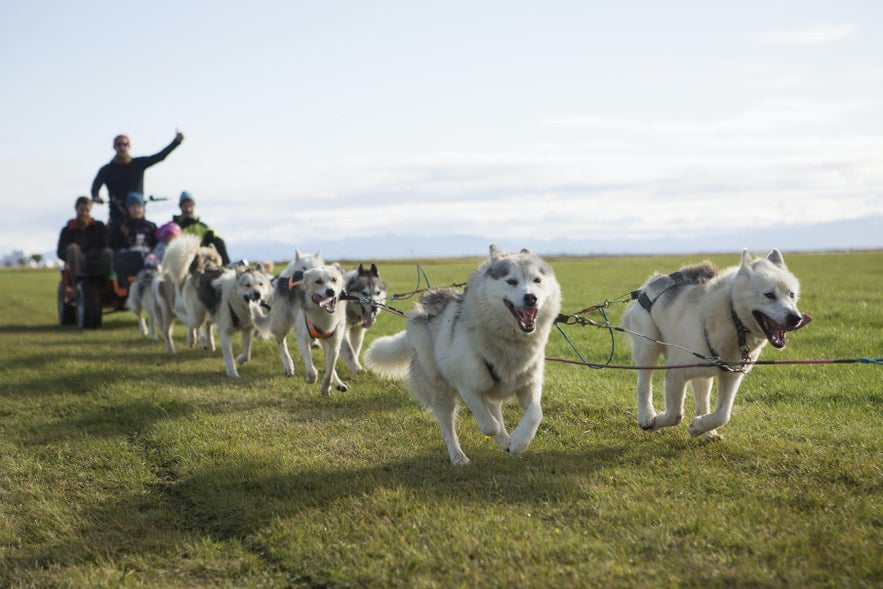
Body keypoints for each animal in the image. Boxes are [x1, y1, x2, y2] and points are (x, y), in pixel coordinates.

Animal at [364, 243, 560, 464]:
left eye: (537, 280)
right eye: (511, 281)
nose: (531, 298)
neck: (509, 342)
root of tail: (416, 311)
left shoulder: (529, 383)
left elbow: (535, 413)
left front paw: (519, 442)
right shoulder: (466, 384)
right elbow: (490, 426)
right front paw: (503, 438)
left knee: (495, 408)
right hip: (439, 390)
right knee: (449, 426)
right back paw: (458, 457)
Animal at [620, 246, 816, 438]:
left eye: (791, 294)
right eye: (769, 295)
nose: (795, 318)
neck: (733, 318)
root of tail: (652, 282)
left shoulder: (732, 376)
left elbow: (723, 414)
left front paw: (699, 426)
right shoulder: (675, 373)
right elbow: (675, 415)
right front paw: (656, 422)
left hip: (702, 373)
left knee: (702, 397)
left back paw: (707, 432)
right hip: (648, 348)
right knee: (644, 384)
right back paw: (646, 416)